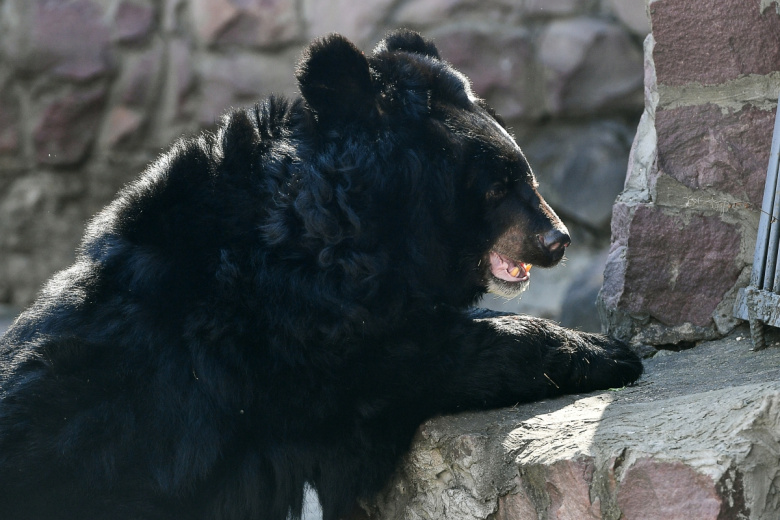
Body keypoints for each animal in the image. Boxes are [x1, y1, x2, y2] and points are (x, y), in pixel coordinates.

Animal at [0, 30, 642, 520]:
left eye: (524, 173)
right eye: (496, 187)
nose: (557, 240)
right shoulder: (296, 340)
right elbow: (426, 354)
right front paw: (610, 351)